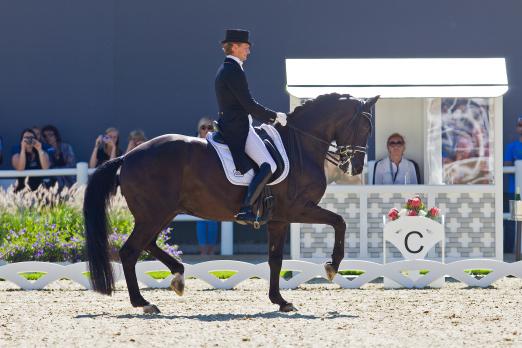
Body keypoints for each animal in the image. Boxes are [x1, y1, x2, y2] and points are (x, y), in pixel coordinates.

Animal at [85, 92, 378, 312]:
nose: (355, 167)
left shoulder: (279, 219)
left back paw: (178, 276)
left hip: (161, 214)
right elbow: (339, 222)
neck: (300, 145)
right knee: (130, 251)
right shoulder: (299, 209)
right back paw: (143, 302)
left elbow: (275, 260)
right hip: (153, 215)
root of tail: (128, 157)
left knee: (147, 245)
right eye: (365, 127)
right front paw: (331, 267)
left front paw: (280, 301)